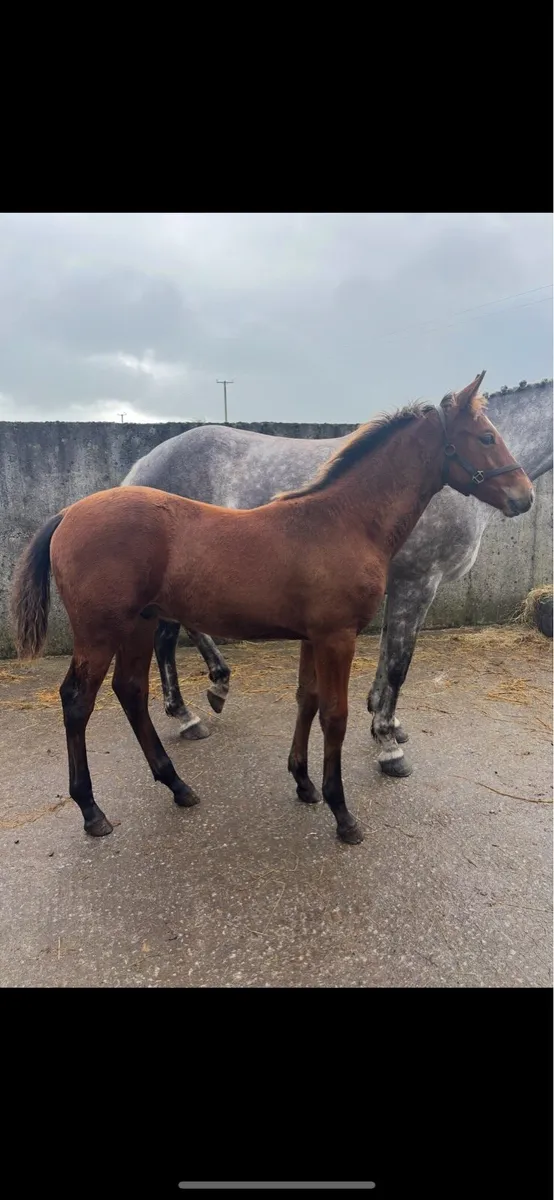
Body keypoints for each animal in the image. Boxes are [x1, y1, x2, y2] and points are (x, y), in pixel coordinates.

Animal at [123, 377, 553, 775]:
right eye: (487, 437)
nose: (524, 497)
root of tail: (141, 465)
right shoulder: (418, 583)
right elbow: (398, 663)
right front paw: (388, 745)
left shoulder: (397, 586)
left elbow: (386, 655)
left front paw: (385, 721)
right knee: (165, 640)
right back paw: (187, 714)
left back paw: (217, 685)